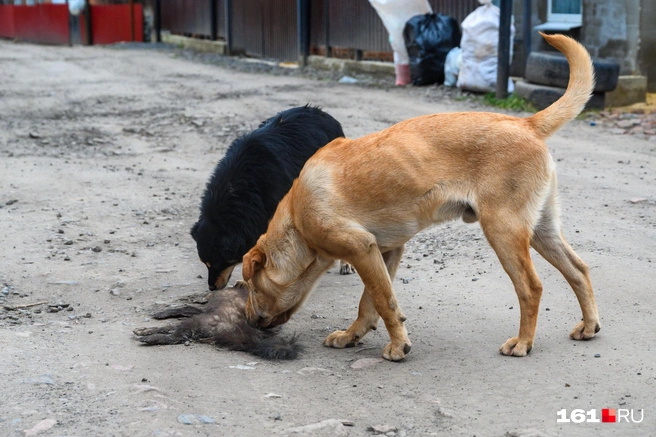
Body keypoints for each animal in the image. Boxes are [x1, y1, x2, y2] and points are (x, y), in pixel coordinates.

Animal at [240, 34, 600, 360]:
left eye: (250, 287)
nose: (247, 320)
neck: (297, 221)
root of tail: (527, 124)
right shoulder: (384, 251)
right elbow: (369, 303)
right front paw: (353, 334)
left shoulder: (361, 250)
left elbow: (383, 301)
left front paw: (398, 346)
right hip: (541, 229)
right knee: (579, 270)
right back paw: (588, 325)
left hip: (504, 231)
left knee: (531, 288)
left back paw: (523, 342)